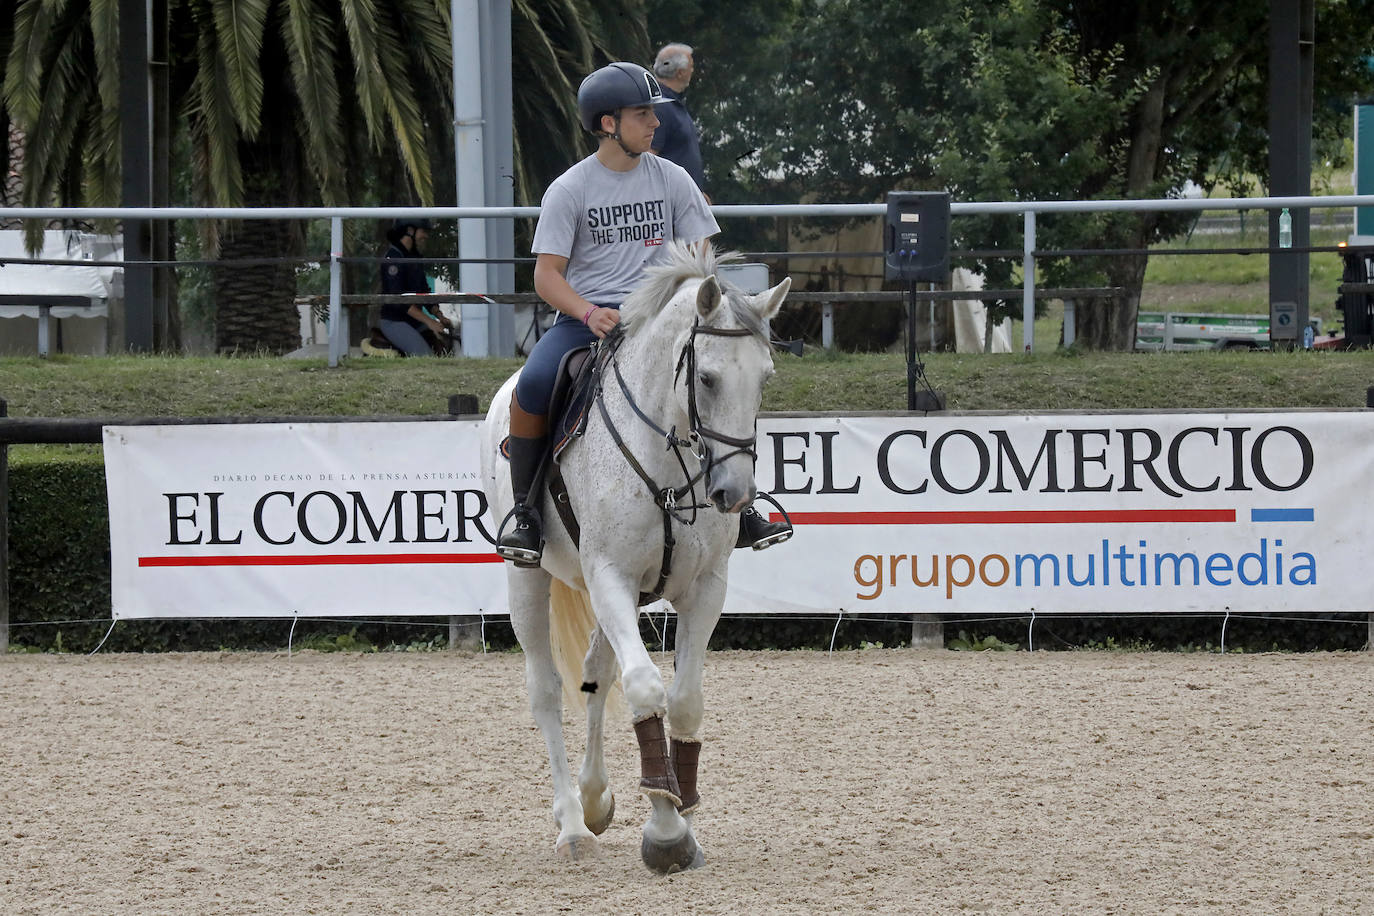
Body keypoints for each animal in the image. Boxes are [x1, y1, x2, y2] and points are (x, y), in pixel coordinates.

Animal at [483, 240, 791, 873]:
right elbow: (646, 689)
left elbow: (685, 701)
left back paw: (594, 798)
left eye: (765, 378)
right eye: (707, 377)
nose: (736, 493)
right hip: (527, 579)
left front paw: (680, 808)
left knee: (596, 675)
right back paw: (572, 825)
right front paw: (667, 833)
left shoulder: (704, 588)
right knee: (546, 689)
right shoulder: (611, 577)